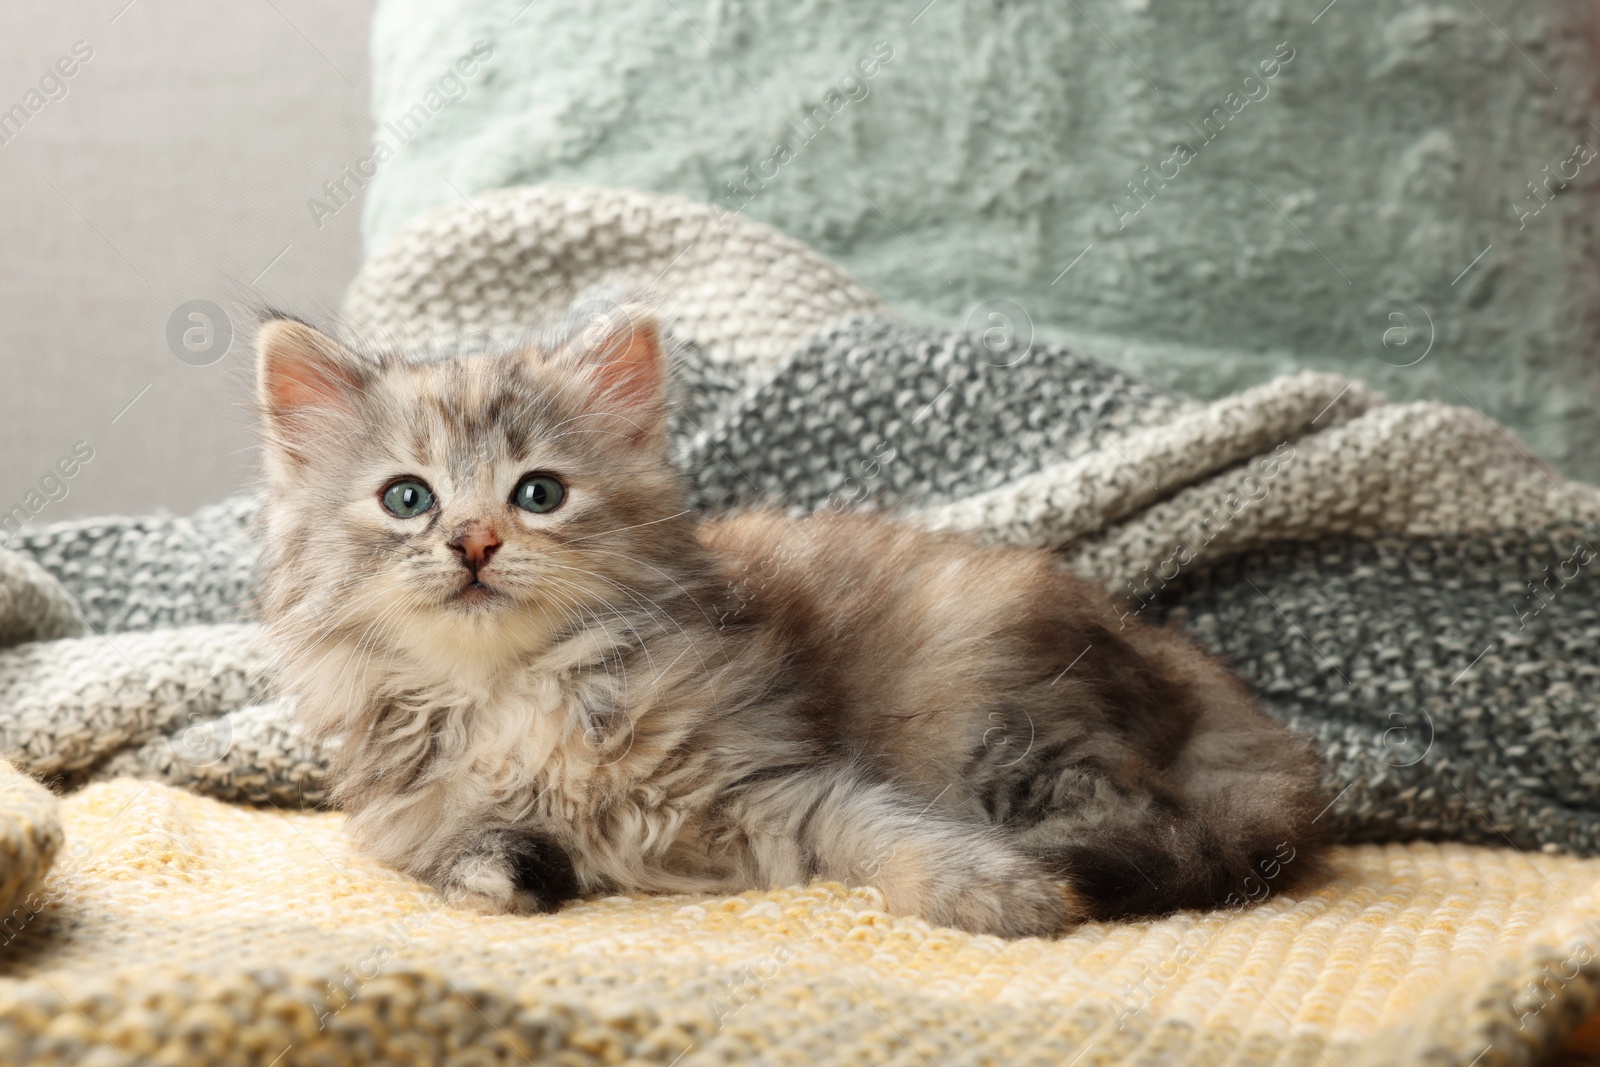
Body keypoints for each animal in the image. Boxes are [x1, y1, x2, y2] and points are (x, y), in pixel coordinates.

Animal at [249, 308, 1324, 934]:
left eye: (539, 492)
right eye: (408, 499)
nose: (472, 541)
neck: (514, 687)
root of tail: (1187, 668)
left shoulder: (778, 784)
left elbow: (889, 833)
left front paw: (988, 888)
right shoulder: (402, 819)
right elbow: (465, 856)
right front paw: (513, 868)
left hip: (996, 704)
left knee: (1143, 815)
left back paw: (1051, 858)